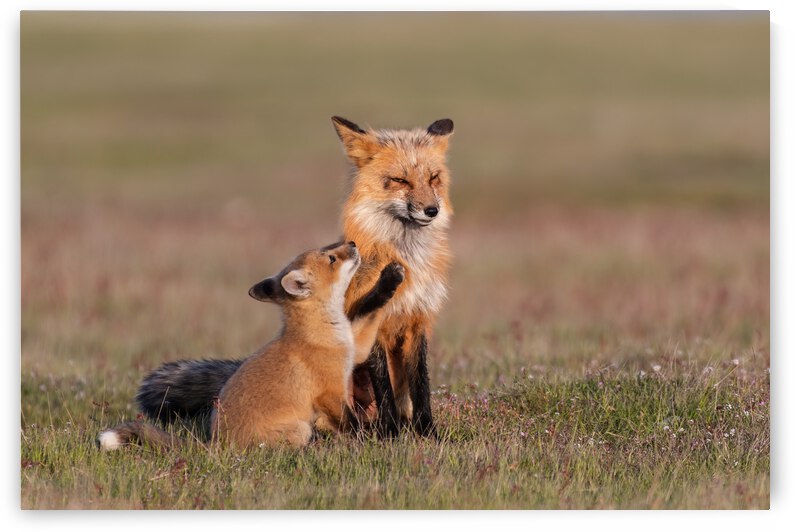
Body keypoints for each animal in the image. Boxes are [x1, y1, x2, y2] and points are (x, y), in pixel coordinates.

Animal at [98, 241, 405, 450]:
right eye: (331, 257)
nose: (352, 243)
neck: (321, 331)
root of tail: (215, 444)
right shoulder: (330, 391)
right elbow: (351, 423)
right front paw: (364, 440)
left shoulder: (355, 349)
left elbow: (371, 311)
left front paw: (389, 280)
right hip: (298, 429)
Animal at [135, 116, 454, 438]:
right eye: (400, 180)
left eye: (433, 178)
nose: (432, 210)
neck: (406, 255)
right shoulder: (373, 323)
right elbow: (384, 387)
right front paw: (390, 433)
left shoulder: (417, 321)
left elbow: (420, 385)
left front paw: (427, 432)